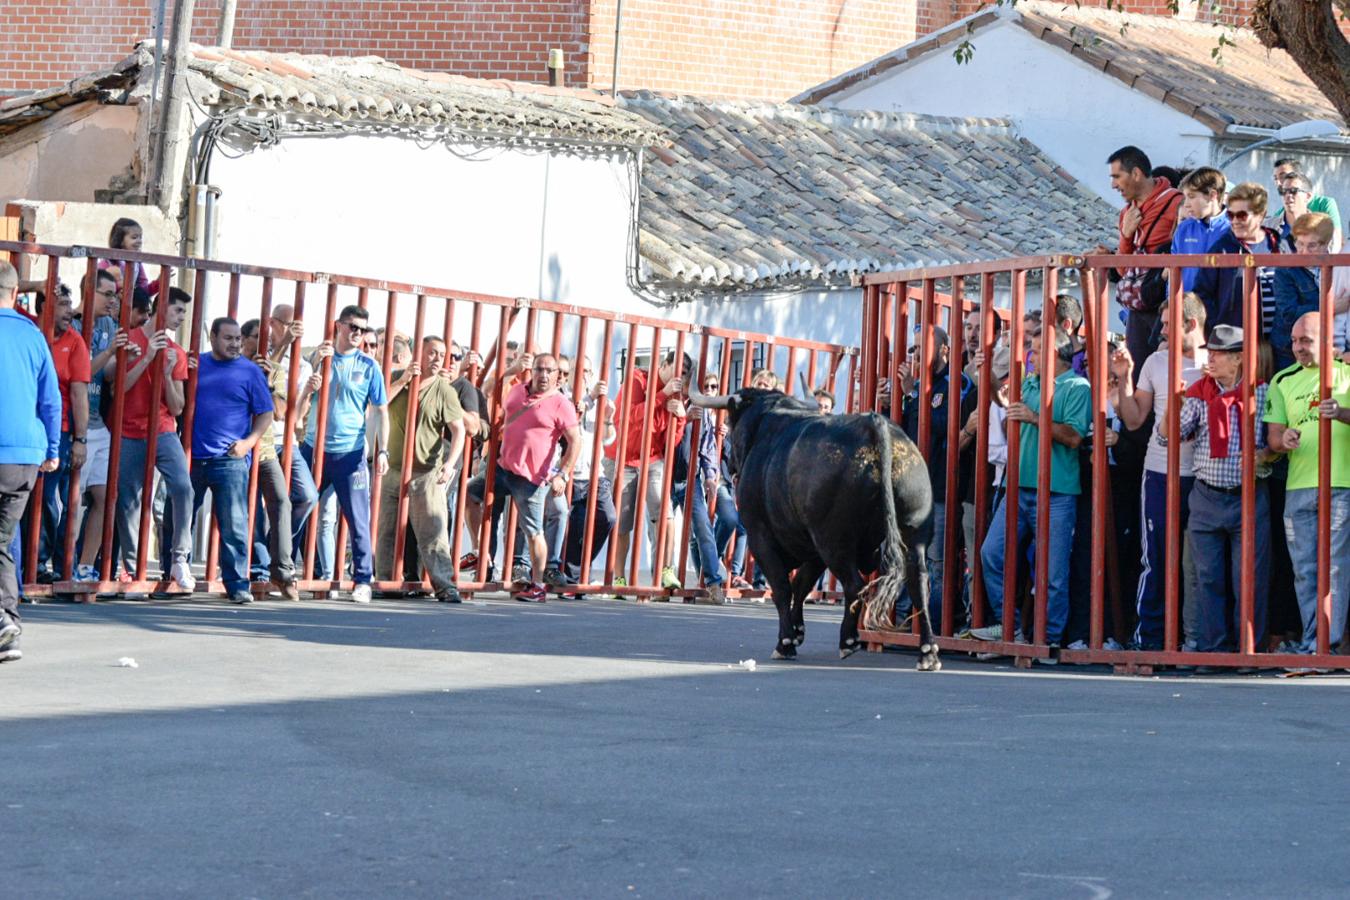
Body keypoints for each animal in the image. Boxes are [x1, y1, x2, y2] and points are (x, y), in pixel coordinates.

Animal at [685, 383, 939, 671]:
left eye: (730, 422)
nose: (729, 463)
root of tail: (875, 426)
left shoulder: (762, 538)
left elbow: (783, 588)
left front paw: (785, 642)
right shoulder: (813, 550)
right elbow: (801, 585)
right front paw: (797, 632)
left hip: (834, 541)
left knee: (853, 584)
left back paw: (848, 640)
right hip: (912, 535)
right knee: (919, 582)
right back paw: (927, 652)